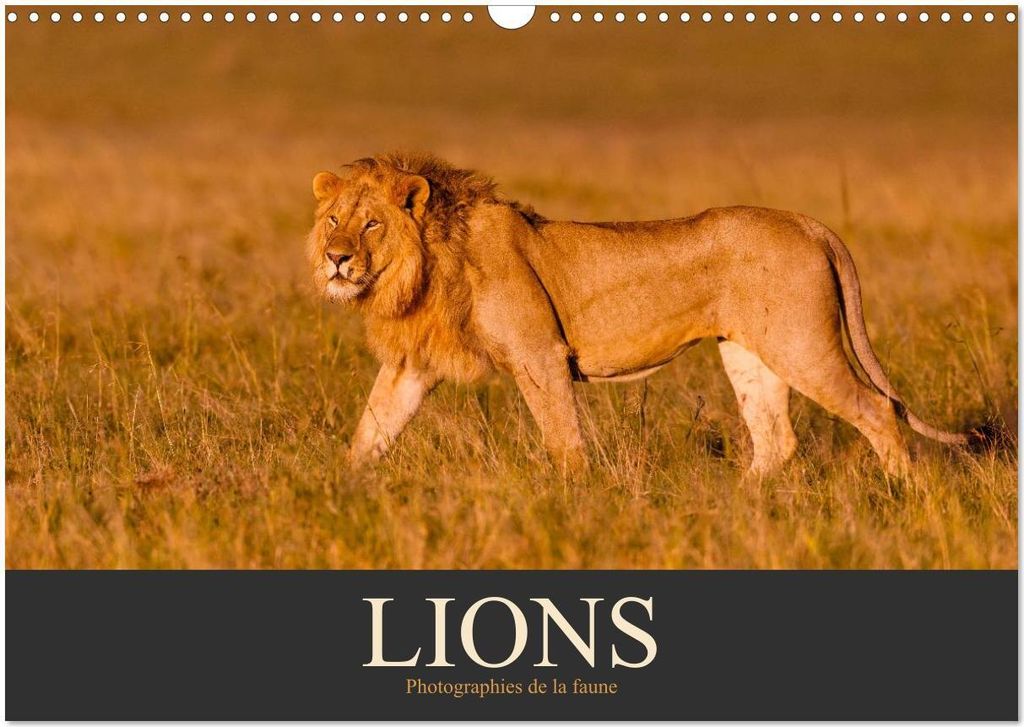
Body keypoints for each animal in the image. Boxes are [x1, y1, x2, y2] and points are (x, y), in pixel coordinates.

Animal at [308, 152, 979, 478]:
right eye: (334, 219)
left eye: (372, 224)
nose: (337, 259)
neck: (428, 265)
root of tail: (808, 222)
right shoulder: (412, 366)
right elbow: (371, 430)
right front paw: (338, 491)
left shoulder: (539, 355)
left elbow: (563, 440)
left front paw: (573, 502)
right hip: (749, 352)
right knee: (775, 440)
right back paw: (738, 508)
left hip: (802, 345)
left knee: (878, 410)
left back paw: (905, 496)